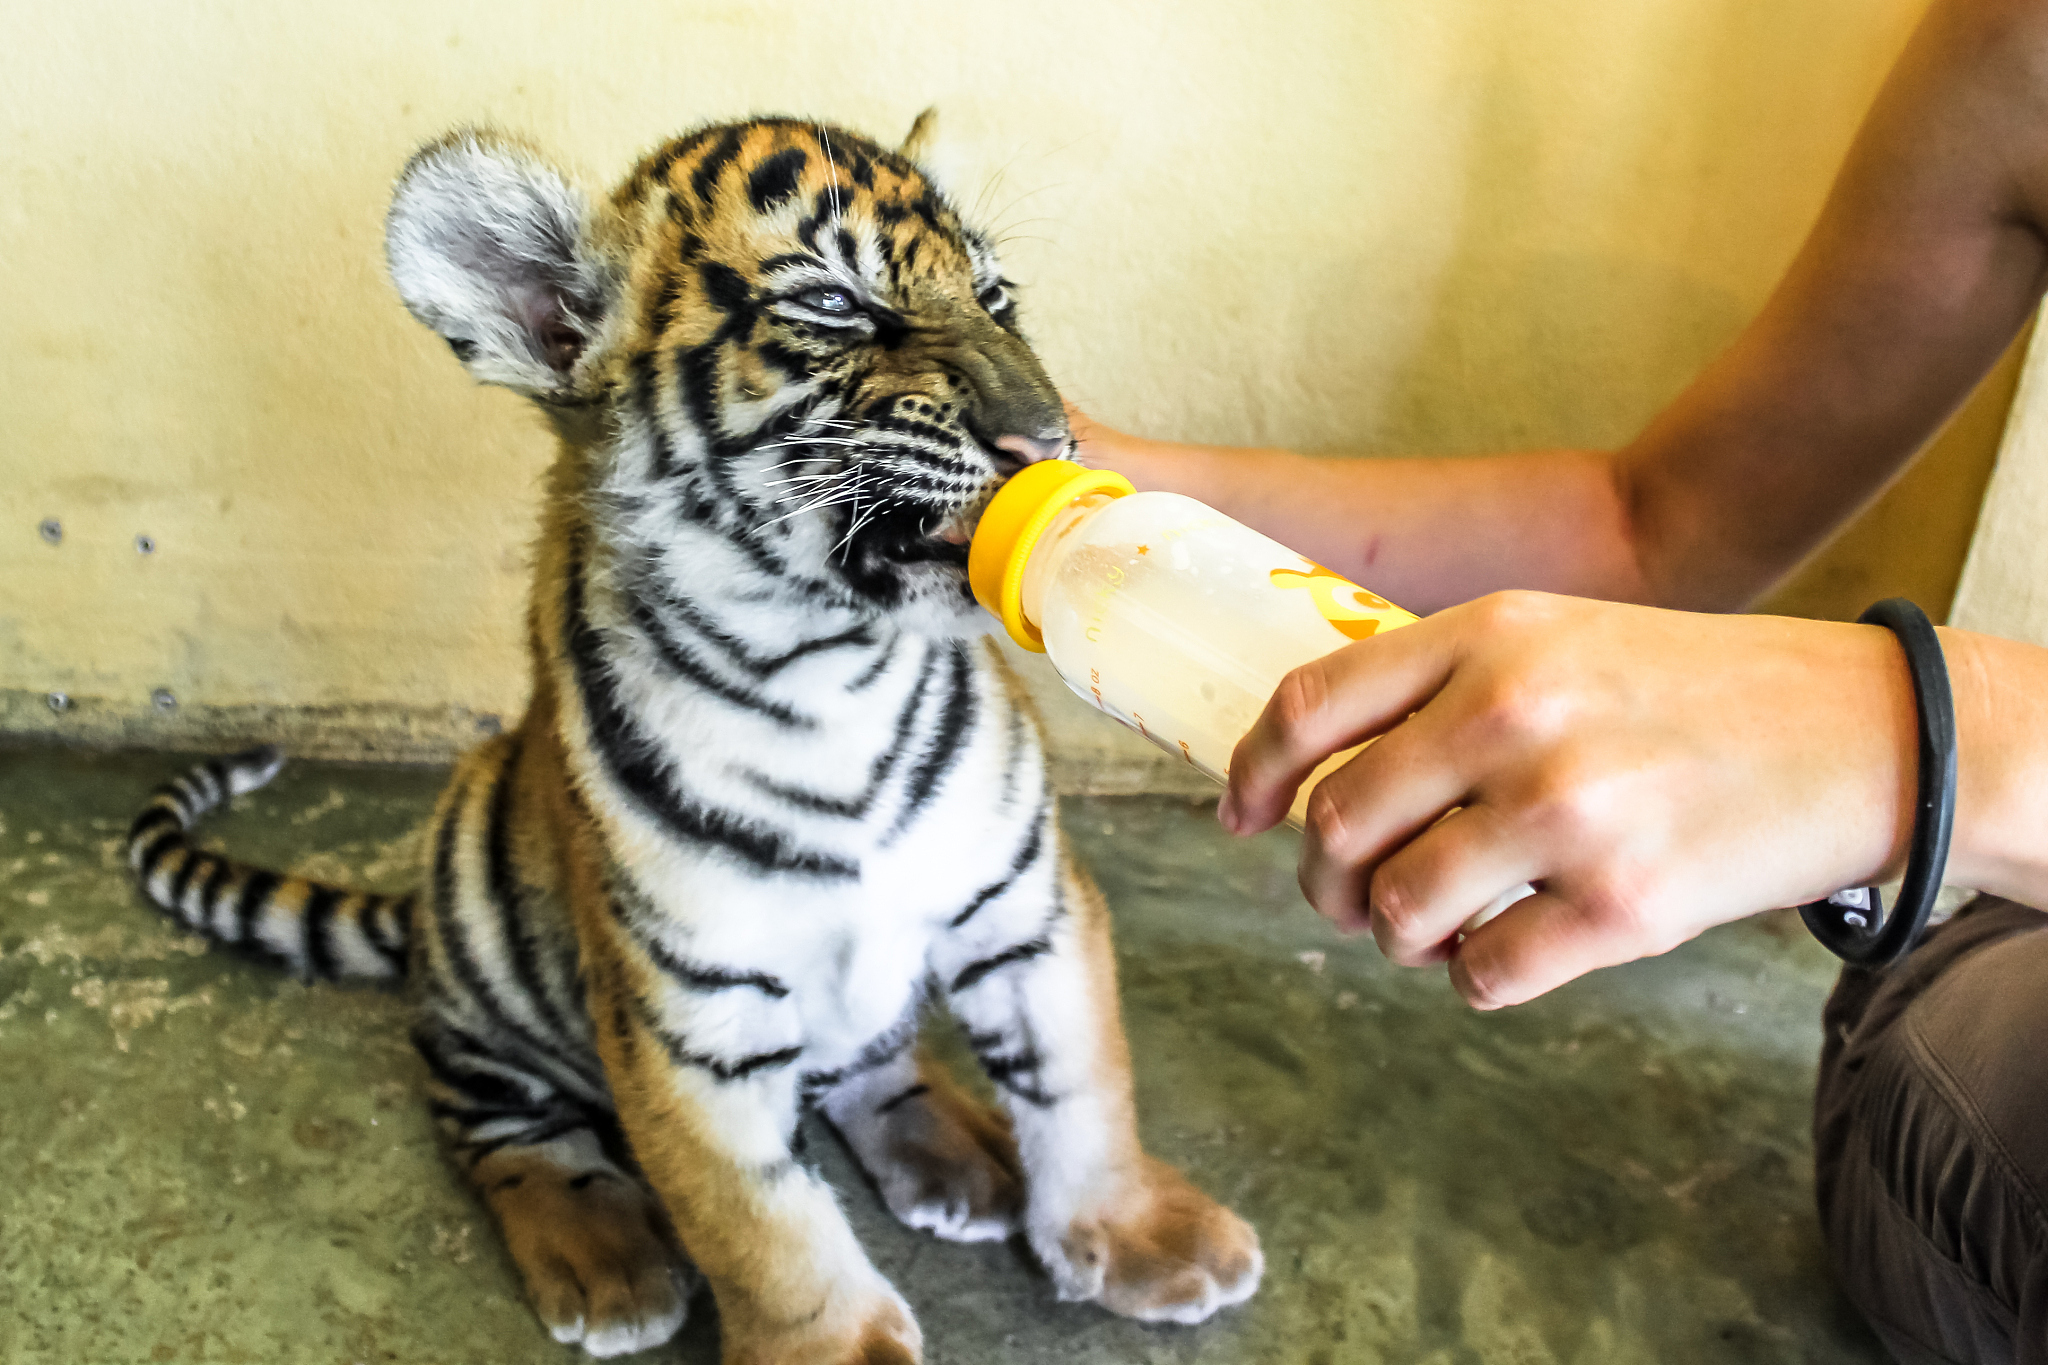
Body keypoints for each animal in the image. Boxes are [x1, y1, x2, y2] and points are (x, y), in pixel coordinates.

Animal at [124, 114, 1263, 1363]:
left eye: (997, 297)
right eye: (834, 307)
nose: (1046, 440)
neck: (829, 671)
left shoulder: (1029, 907)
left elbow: (1080, 1085)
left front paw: (1142, 1235)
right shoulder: (687, 1012)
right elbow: (755, 1216)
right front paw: (830, 1349)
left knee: (871, 1065)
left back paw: (957, 1156)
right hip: (476, 912)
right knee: (486, 1115)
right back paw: (605, 1259)